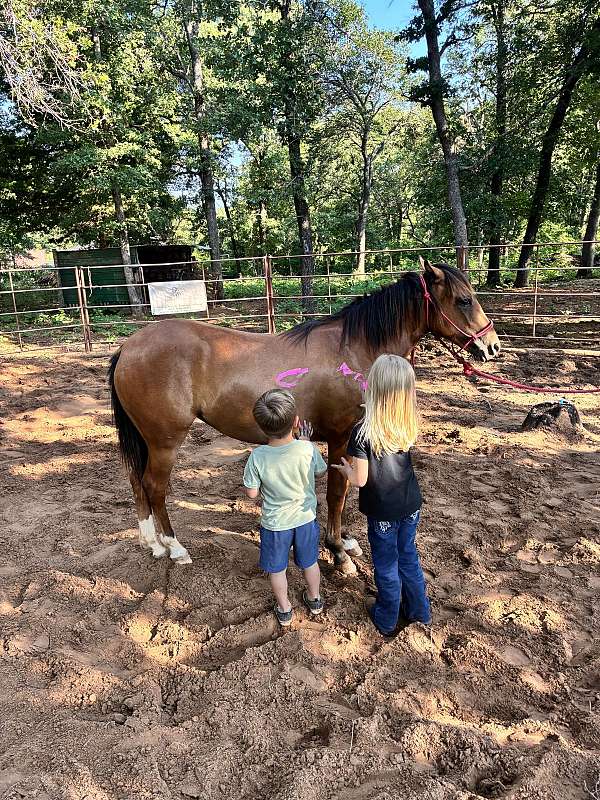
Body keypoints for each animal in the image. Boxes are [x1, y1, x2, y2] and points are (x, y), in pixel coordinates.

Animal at [107, 259, 501, 575]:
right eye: (464, 300)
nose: (493, 346)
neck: (355, 349)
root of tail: (128, 347)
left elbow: (344, 490)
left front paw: (346, 540)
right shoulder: (340, 437)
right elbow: (337, 493)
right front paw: (338, 552)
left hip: (147, 441)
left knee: (137, 483)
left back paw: (153, 544)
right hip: (164, 442)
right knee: (154, 487)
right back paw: (175, 548)